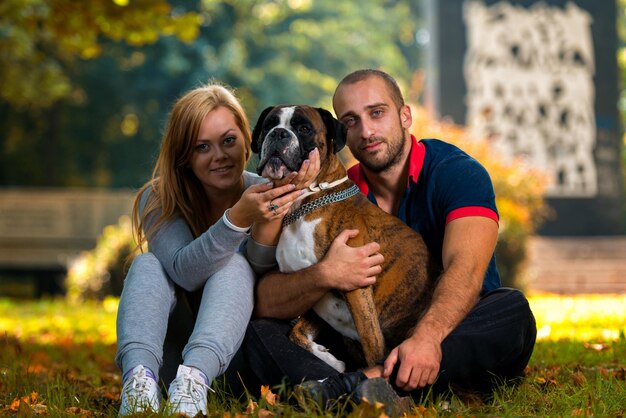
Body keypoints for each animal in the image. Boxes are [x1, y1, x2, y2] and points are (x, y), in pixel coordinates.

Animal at [249, 105, 438, 372]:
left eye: (304, 128)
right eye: (268, 125)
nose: (278, 133)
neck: (305, 200)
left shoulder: (357, 289)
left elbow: (373, 347)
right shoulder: (312, 286)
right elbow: (296, 333)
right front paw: (329, 359)